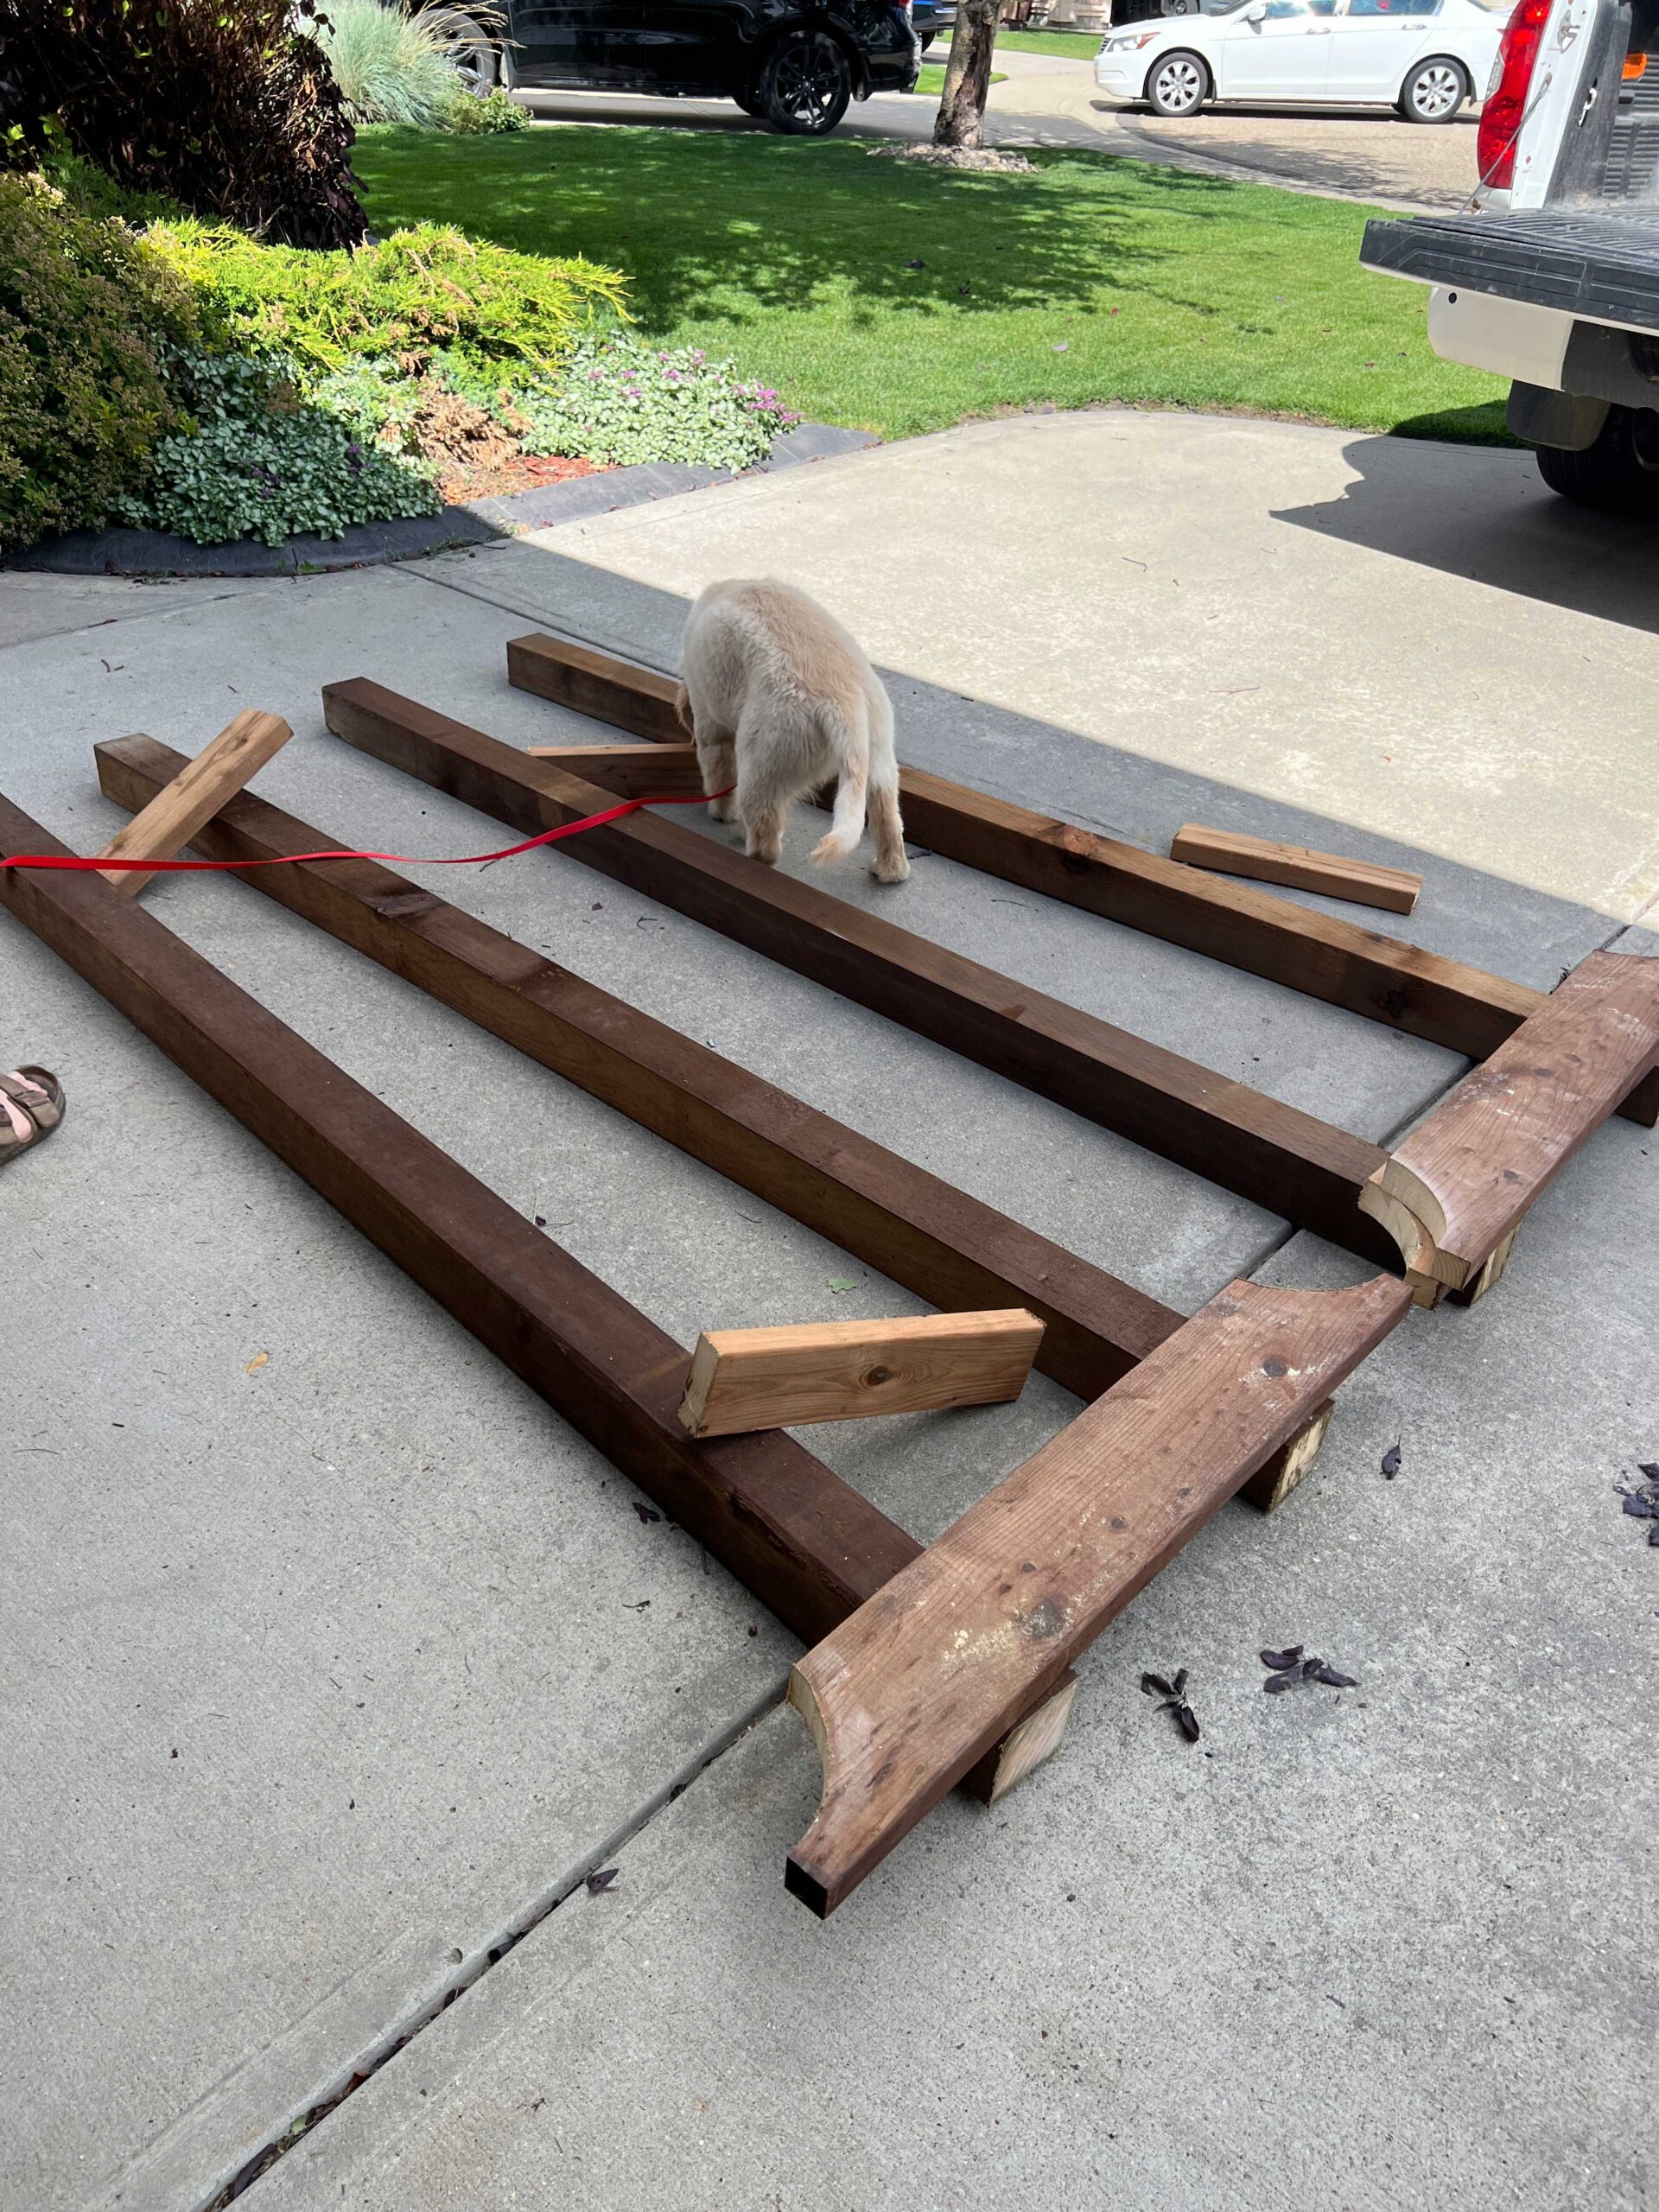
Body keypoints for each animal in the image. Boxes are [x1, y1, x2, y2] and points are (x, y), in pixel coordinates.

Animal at [672, 579, 911, 880]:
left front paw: (721, 813)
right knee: (888, 818)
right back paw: (889, 870)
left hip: (763, 764)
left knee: (765, 839)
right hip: (880, 757)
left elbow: (719, 774)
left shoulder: (711, 724)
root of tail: (844, 699)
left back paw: (752, 858)